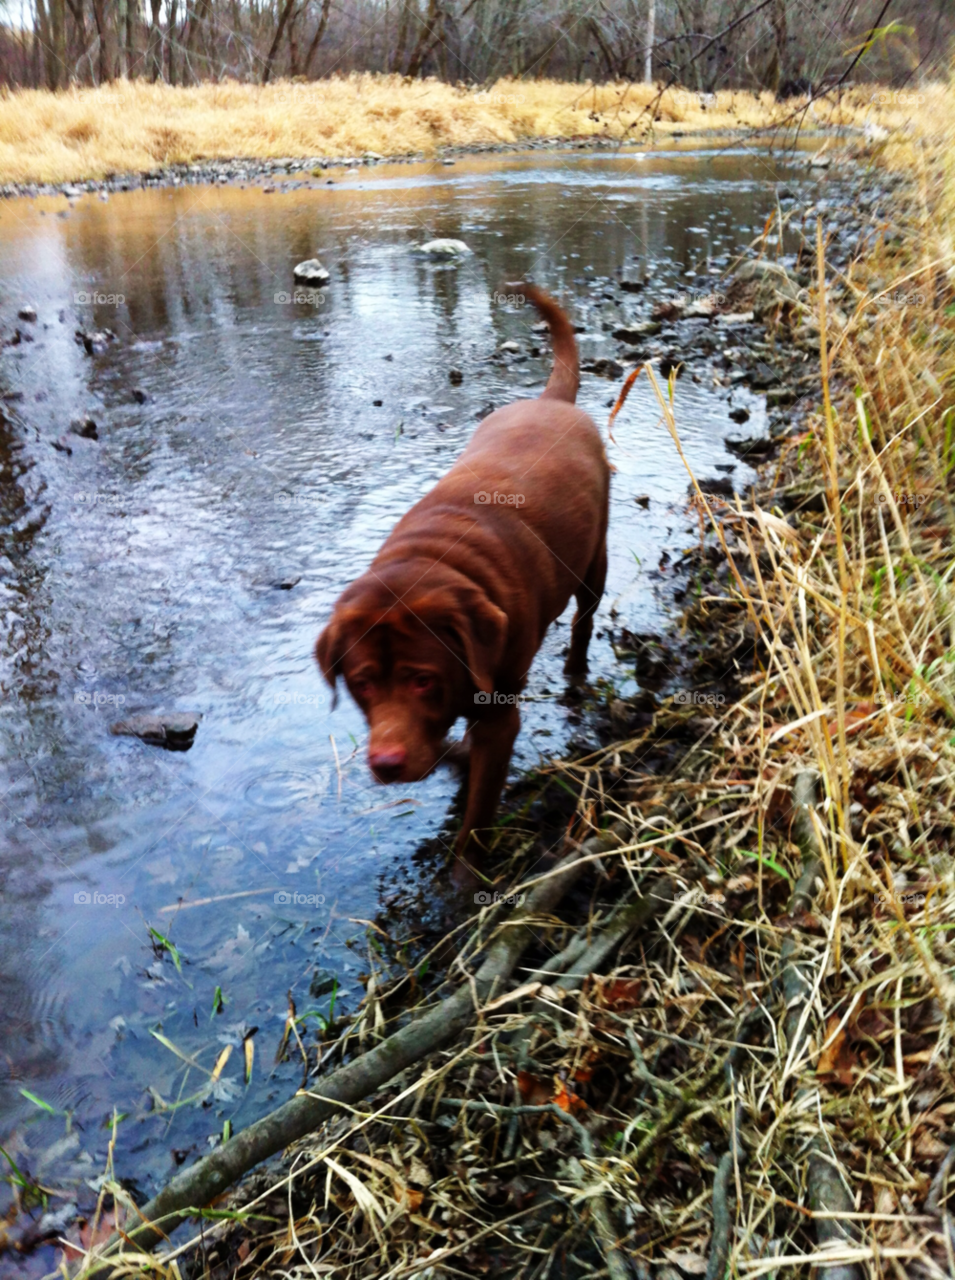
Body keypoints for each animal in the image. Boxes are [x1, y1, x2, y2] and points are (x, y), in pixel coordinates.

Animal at [316, 284, 606, 875]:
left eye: (423, 679)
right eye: (361, 683)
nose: (385, 762)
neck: (433, 559)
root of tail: (553, 401)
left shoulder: (498, 718)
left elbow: (478, 812)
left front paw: (463, 878)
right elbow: (457, 753)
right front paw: (453, 761)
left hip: (595, 562)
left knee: (585, 618)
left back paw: (575, 668)